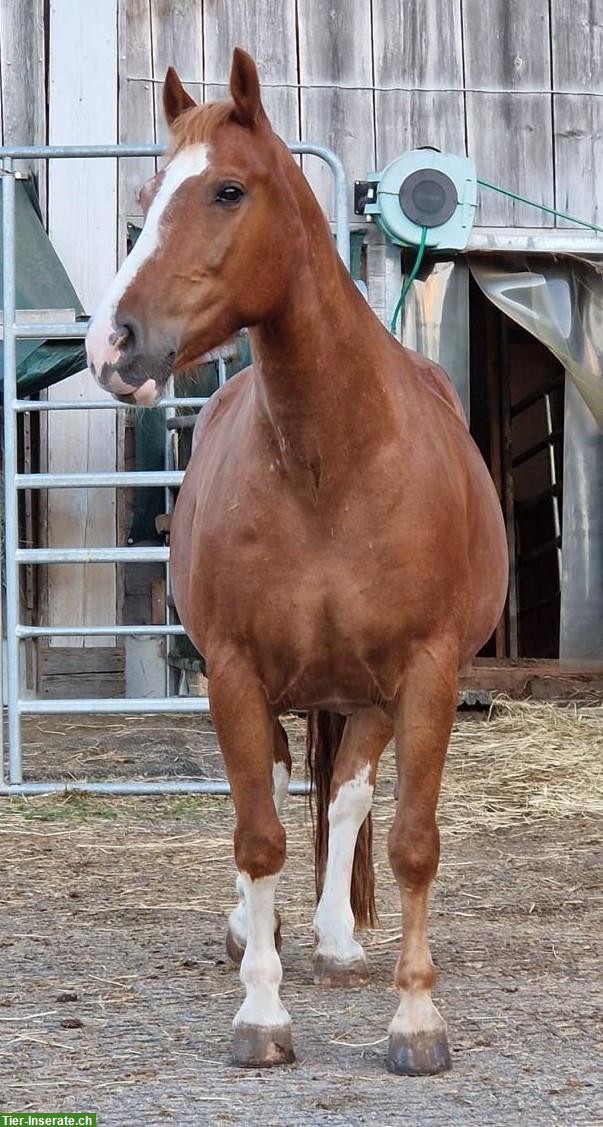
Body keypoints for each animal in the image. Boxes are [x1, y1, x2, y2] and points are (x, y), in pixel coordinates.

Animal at [86, 50, 509, 1072]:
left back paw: (336, 938)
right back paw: (263, 931)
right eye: (149, 194)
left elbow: (408, 841)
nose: (112, 343)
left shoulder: (426, 674)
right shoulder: (235, 673)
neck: (332, 465)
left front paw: (415, 1018)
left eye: (228, 191)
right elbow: (260, 836)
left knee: (349, 793)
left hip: (368, 694)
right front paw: (261, 1012)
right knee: (282, 790)